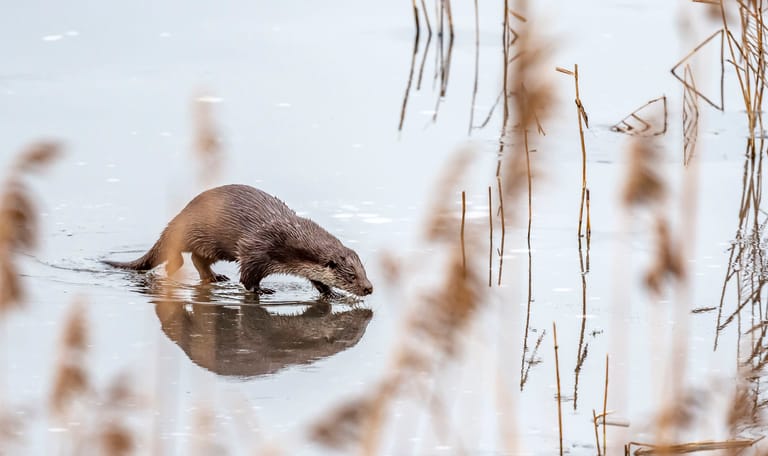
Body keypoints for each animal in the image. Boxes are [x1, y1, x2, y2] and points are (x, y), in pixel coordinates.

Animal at [104, 184, 373, 297]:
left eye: (364, 272)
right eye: (352, 276)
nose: (369, 288)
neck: (287, 238)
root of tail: (180, 215)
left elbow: (316, 279)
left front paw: (330, 293)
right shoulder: (256, 250)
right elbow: (247, 279)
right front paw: (261, 290)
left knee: (198, 259)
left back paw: (215, 277)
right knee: (178, 256)